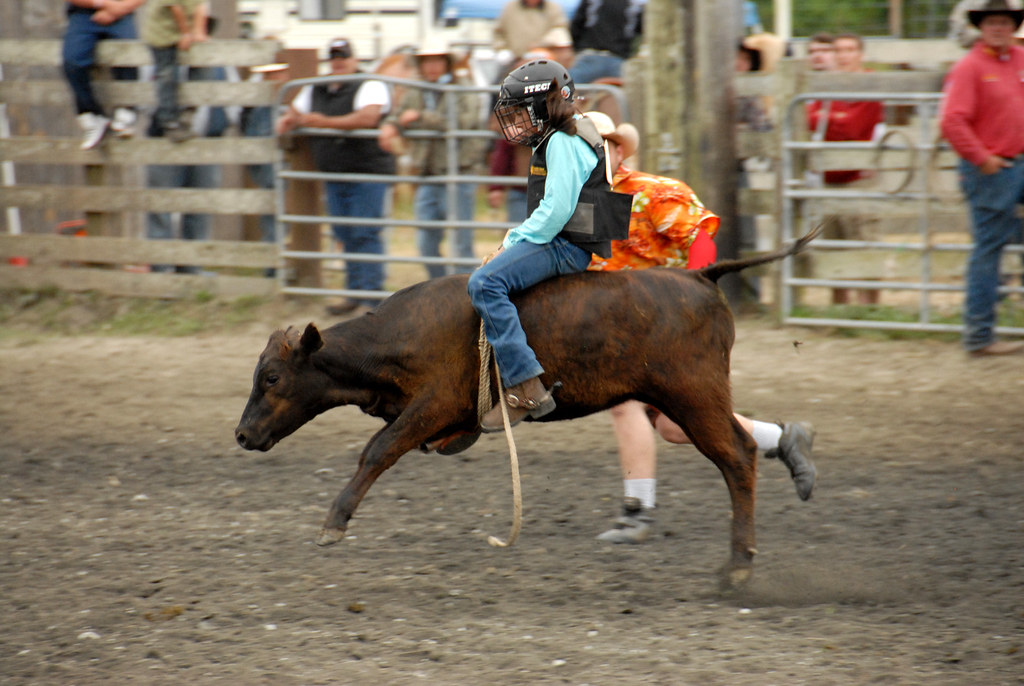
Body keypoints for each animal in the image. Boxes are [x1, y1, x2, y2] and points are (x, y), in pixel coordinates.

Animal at [235, 230, 819, 588]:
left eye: (272, 377)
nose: (241, 435)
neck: (395, 340)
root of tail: (699, 277)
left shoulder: (433, 403)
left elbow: (377, 450)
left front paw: (333, 523)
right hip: (677, 400)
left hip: (693, 394)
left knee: (737, 456)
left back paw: (738, 567)